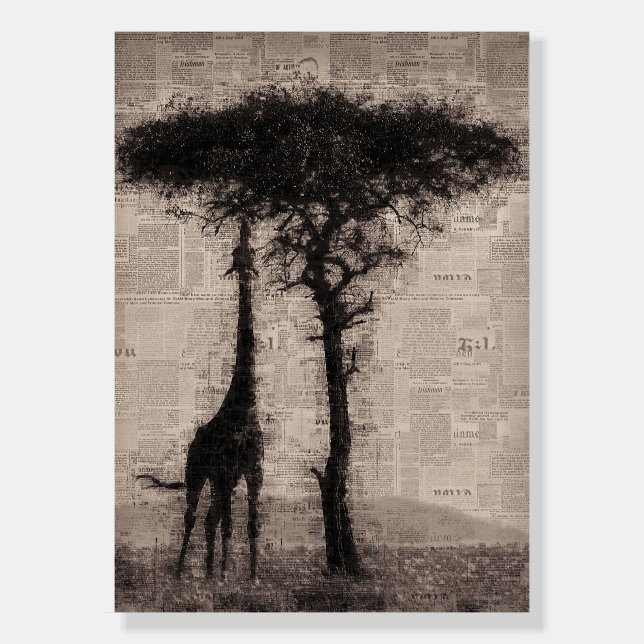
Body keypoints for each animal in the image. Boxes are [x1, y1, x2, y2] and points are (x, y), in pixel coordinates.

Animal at [140, 216, 264, 581]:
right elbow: (227, 526)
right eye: (236, 253)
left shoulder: (252, 471)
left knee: (210, 519)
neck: (245, 408)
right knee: (194, 518)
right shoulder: (224, 471)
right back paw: (183, 571)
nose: (245, 270)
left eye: (253, 252)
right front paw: (224, 576)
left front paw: (251, 576)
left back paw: (207, 572)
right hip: (196, 473)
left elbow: (250, 525)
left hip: (221, 479)